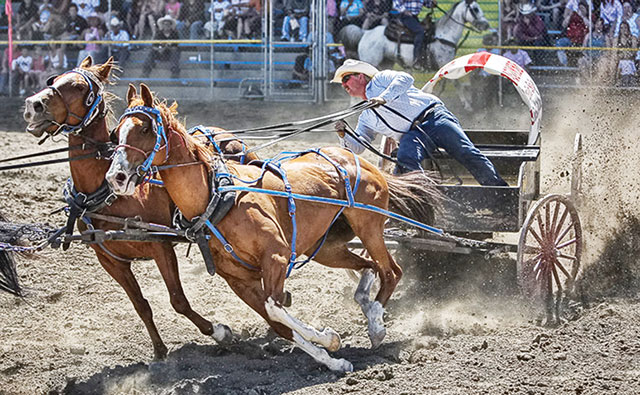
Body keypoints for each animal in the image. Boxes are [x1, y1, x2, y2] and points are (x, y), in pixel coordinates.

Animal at [21, 56, 258, 362]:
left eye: (77, 86)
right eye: (54, 79)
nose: (33, 105)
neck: (106, 192)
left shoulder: (160, 247)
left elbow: (178, 300)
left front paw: (219, 332)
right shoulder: (110, 259)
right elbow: (140, 305)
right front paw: (159, 350)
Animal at [106, 83, 444, 372]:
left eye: (146, 129)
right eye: (114, 134)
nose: (116, 177)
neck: (217, 199)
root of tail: (359, 159)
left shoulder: (277, 257)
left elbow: (275, 306)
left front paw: (328, 339)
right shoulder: (239, 281)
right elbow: (276, 322)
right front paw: (333, 358)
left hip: (369, 225)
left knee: (390, 271)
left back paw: (375, 324)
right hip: (327, 247)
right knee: (369, 266)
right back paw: (365, 304)